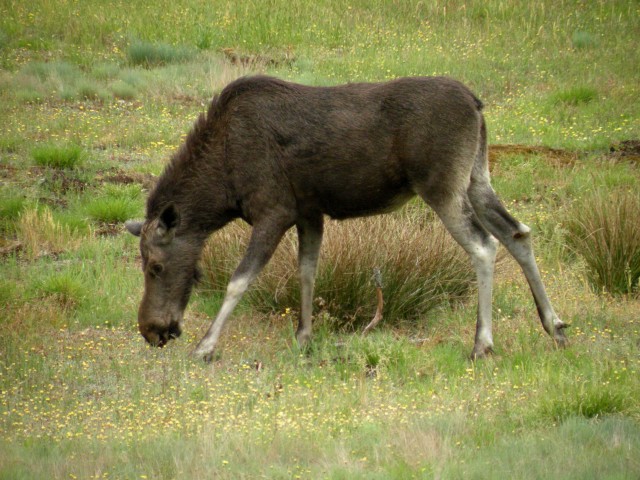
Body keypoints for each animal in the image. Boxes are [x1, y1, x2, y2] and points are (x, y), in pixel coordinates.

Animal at [125, 75, 564, 360]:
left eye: (155, 266)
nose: (151, 330)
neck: (222, 187)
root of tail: (477, 103)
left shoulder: (274, 210)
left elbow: (239, 280)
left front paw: (205, 346)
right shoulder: (308, 212)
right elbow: (307, 271)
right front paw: (304, 337)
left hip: (441, 186)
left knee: (484, 245)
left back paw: (482, 343)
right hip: (476, 177)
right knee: (517, 232)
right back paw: (554, 326)